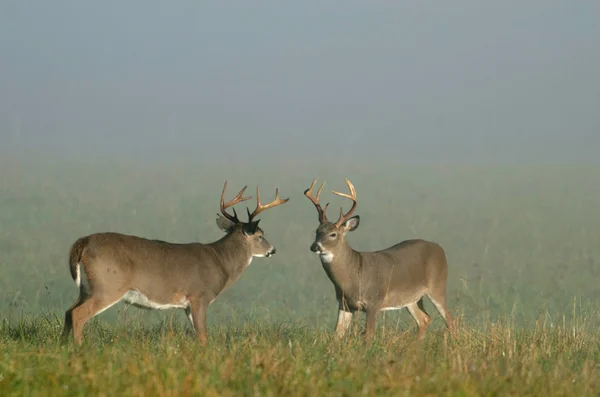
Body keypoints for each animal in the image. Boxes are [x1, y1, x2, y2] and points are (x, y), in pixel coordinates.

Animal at [61, 181, 288, 344]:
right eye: (260, 235)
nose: (273, 250)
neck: (221, 261)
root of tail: (82, 243)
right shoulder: (199, 297)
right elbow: (203, 336)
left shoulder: (187, 305)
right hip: (107, 286)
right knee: (78, 314)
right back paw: (80, 348)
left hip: (86, 287)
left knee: (68, 311)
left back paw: (64, 347)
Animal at [304, 177, 454, 340]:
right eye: (317, 231)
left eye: (333, 234)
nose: (315, 246)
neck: (354, 275)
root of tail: (440, 248)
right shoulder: (344, 304)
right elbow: (336, 335)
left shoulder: (374, 301)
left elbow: (368, 336)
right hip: (411, 298)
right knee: (425, 319)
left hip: (438, 286)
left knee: (450, 319)